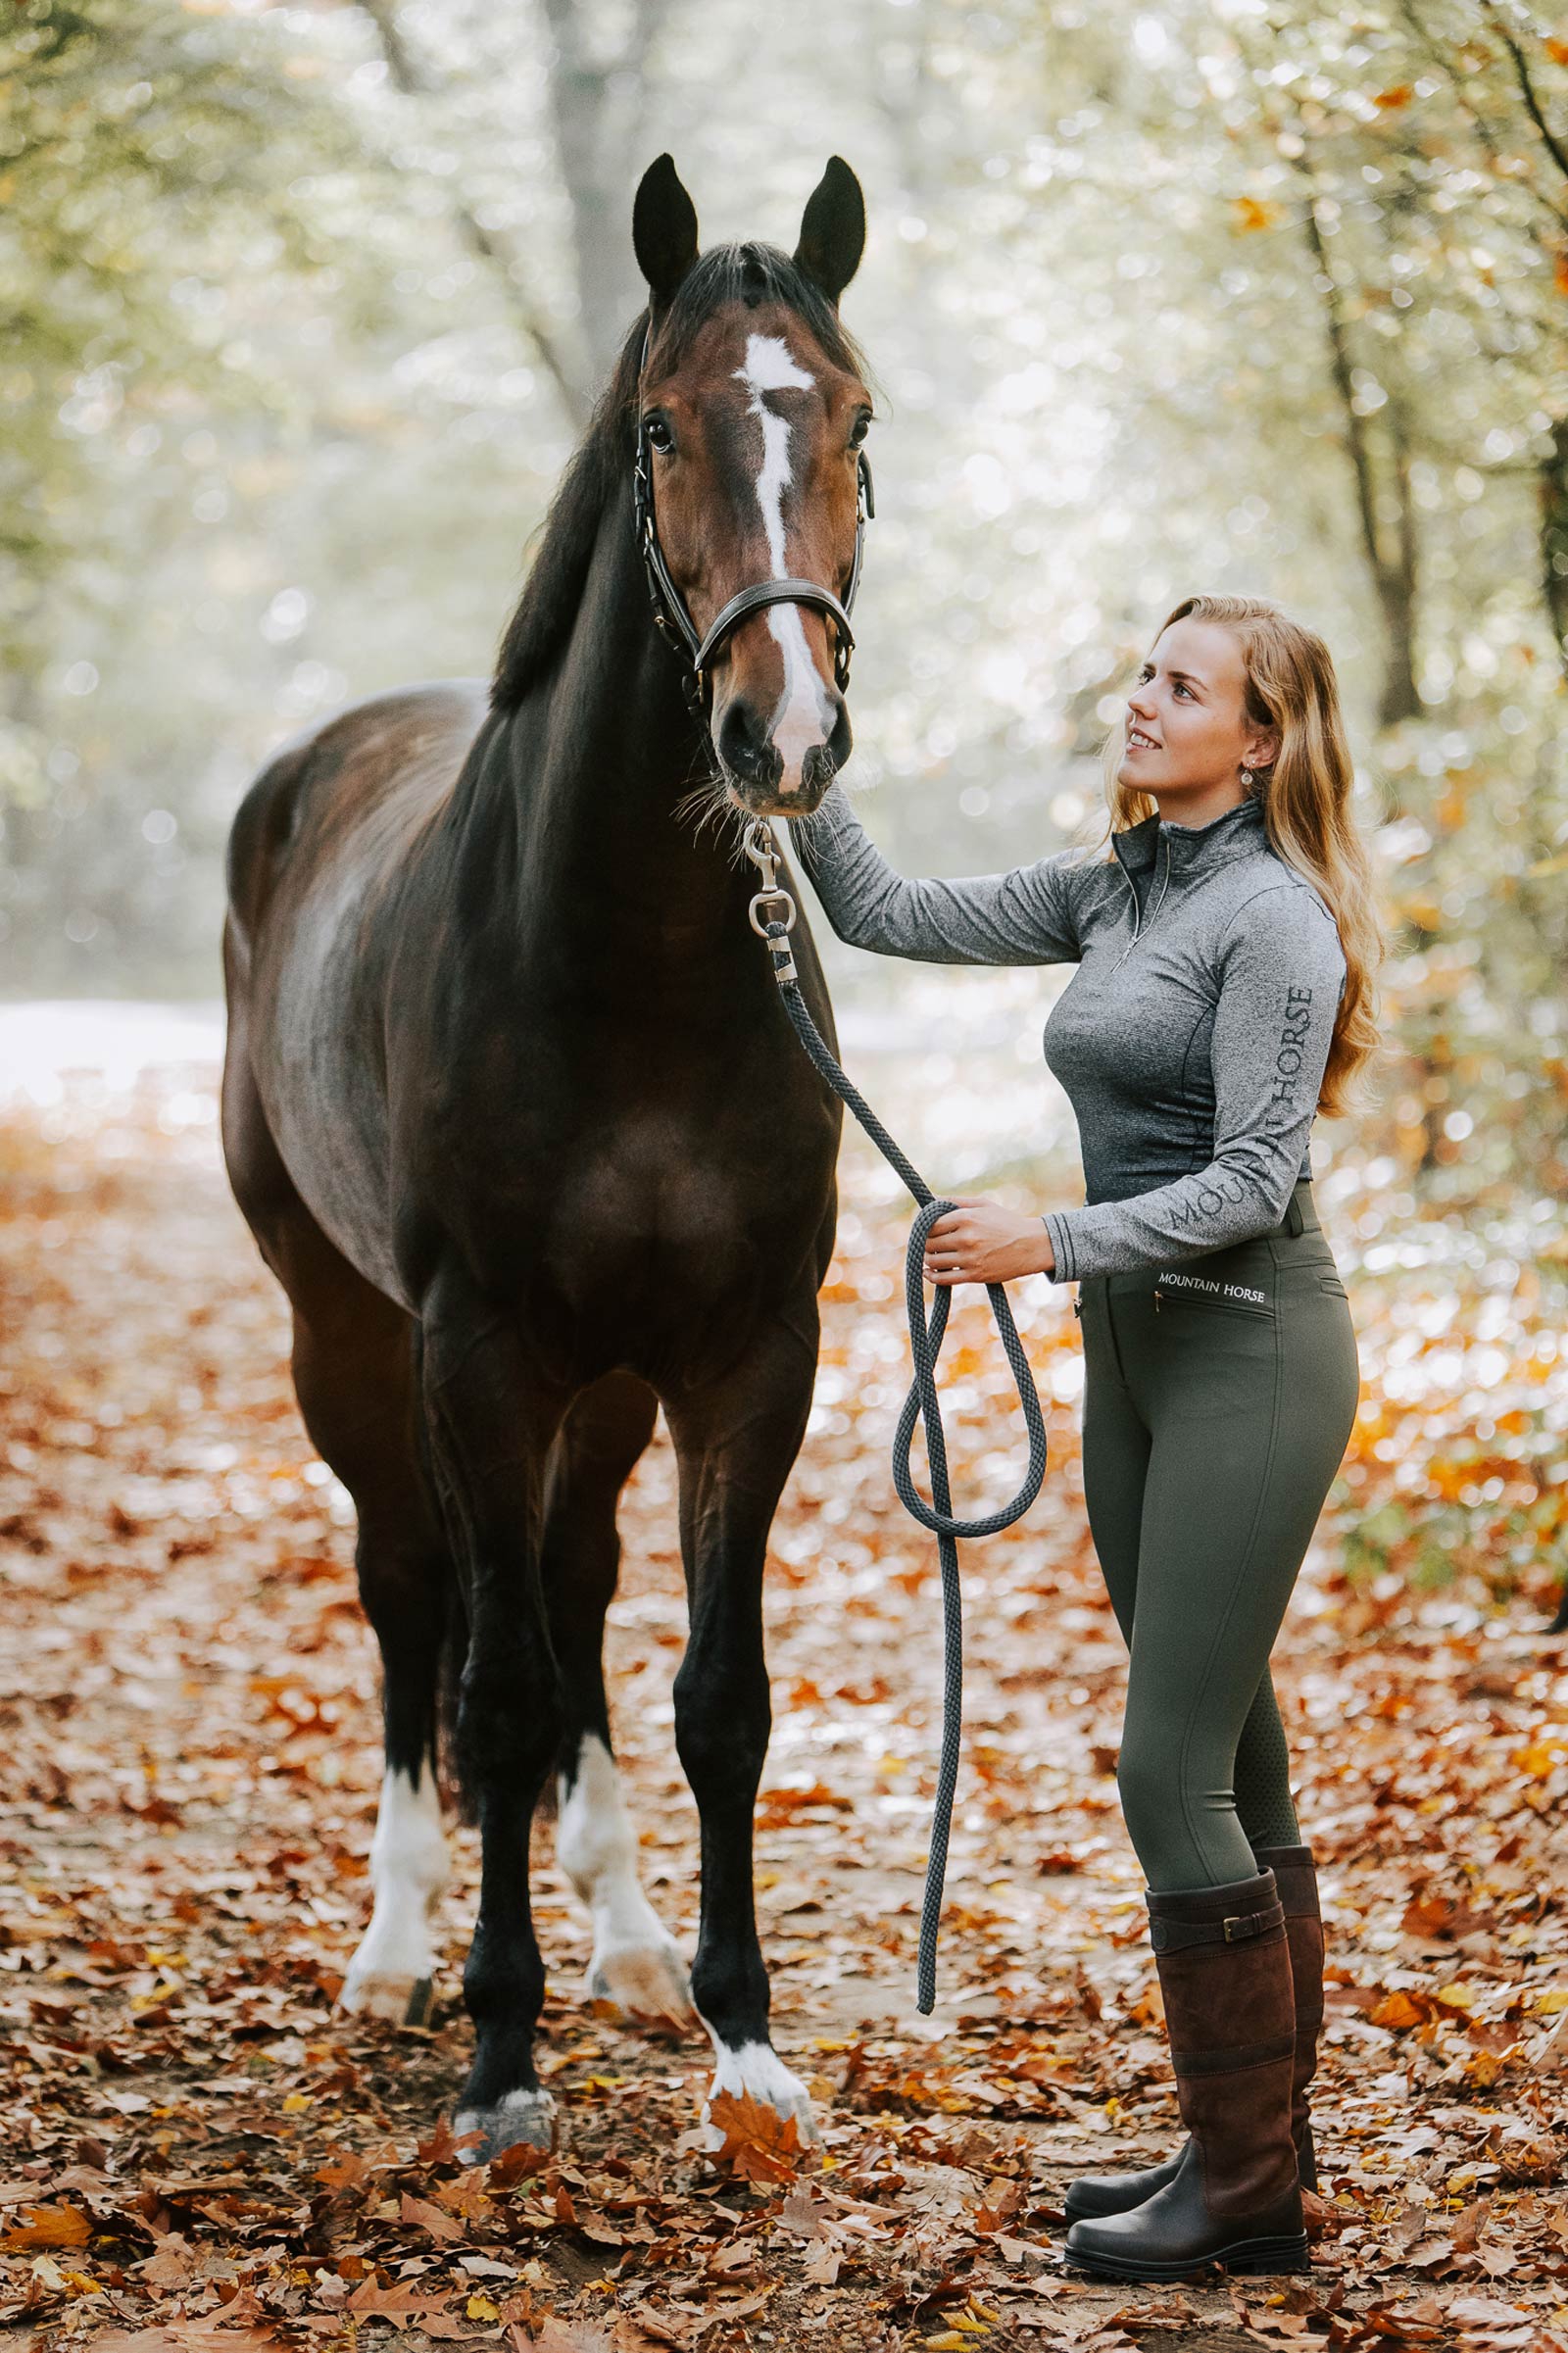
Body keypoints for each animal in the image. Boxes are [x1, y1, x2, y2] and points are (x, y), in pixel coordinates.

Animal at [220, 154, 873, 2160]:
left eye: (857, 418)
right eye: (660, 429)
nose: (781, 733)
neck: (636, 965)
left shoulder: (746, 1356)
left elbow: (718, 1696)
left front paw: (744, 2041)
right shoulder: (480, 1352)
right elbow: (494, 1692)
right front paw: (499, 2058)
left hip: (609, 1385)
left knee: (575, 1585)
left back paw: (632, 1938)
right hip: (351, 1341)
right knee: (412, 1600)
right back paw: (398, 1946)